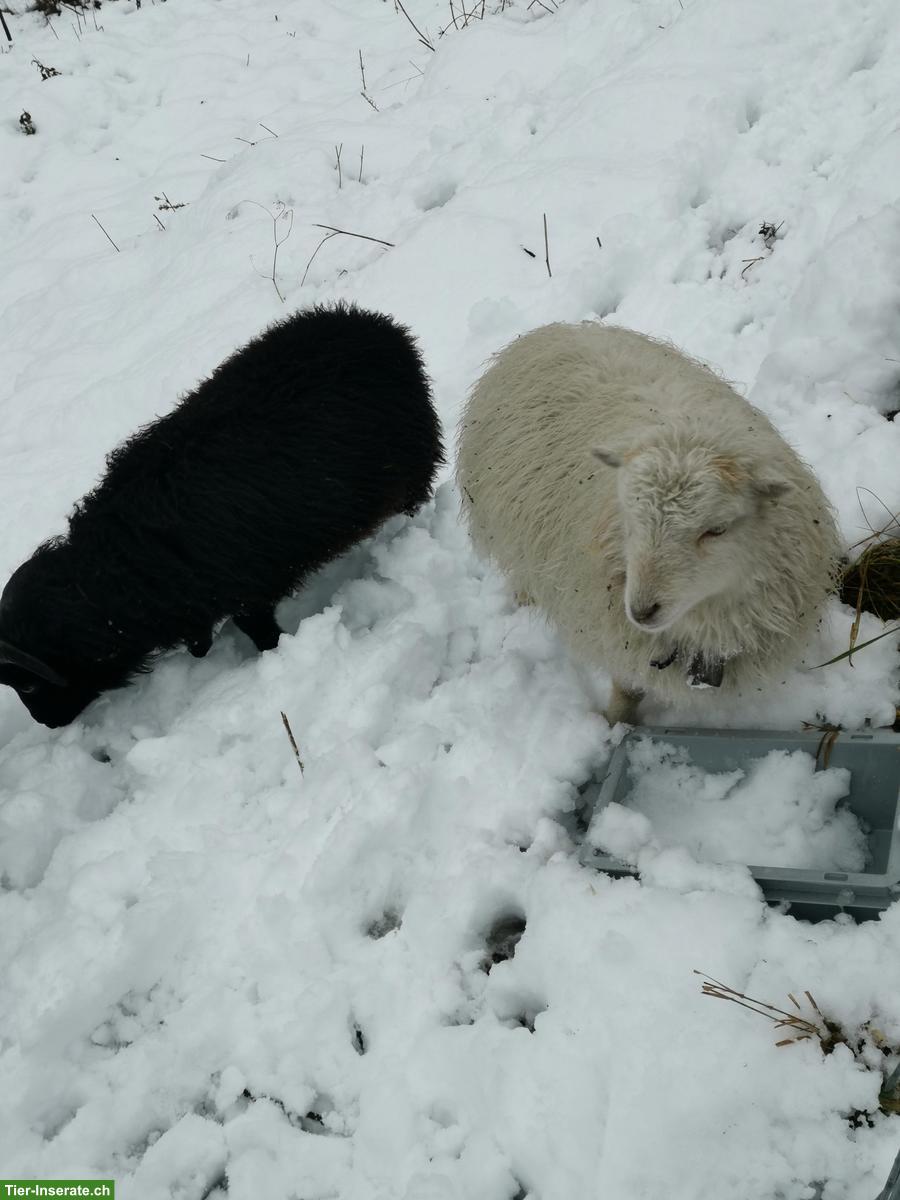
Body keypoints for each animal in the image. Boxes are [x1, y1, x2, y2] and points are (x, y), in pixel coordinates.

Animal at [0, 302, 444, 727]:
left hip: (412, 469)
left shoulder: (249, 591)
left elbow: (260, 634)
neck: (114, 573)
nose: (47, 725)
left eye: (29, 684)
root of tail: (380, 326)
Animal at [456, 321, 841, 724]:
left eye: (717, 529)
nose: (641, 610)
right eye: (629, 517)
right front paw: (615, 723)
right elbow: (627, 688)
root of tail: (555, 327)